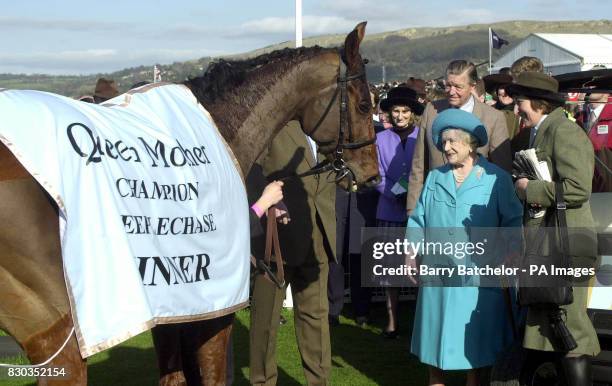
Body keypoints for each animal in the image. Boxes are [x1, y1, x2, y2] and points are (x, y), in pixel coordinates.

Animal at [0, 21, 378, 386]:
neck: (214, 131)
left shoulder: (174, 305)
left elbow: (174, 376)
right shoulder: (214, 303)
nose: (372, 175)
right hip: (56, 332)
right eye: (364, 105)